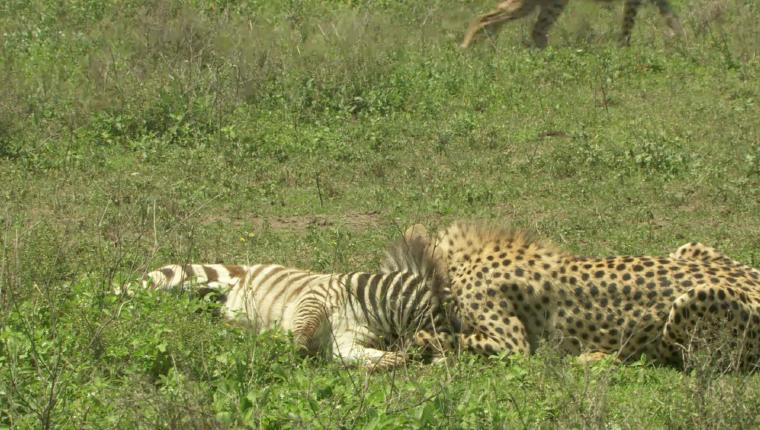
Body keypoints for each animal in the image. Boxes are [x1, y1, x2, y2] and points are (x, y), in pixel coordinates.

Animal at [142, 237, 458, 368]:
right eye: (445, 322)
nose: (449, 360)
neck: (369, 310)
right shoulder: (314, 299)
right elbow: (301, 338)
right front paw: (278, 350)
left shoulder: (345, 342)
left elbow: (367, 357)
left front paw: (393, 359)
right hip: (191, 276)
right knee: (145, 288)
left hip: (205, 299)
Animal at [392, 222, 760, 370]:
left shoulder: (512, 344)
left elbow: (453, 337)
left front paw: (420, 341)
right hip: (687, 248)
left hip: (694, 299)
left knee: (685, 359)